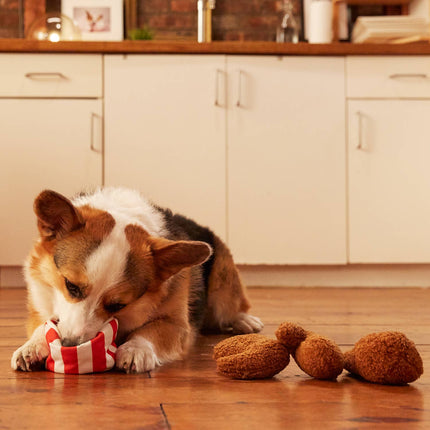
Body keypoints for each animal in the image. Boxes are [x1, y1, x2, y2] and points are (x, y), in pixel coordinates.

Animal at [11, 188, 262, 372]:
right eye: (71, 286)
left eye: (117, 305)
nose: (70, 345)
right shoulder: (41, 308)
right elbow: (43, 326)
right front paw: (31, 347)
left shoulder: (177, 325)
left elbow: (151, 331)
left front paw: (135, 350)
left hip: (224, 289)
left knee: (230, 309)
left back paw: (244, 321)